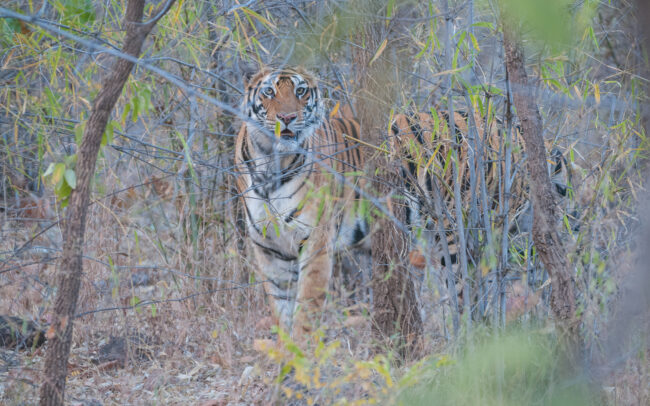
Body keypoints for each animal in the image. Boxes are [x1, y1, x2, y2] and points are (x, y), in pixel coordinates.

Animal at [235, 67, 367, 340]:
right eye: (268, 91)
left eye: (300, 91)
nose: (287, 117)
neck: (270, 166)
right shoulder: (268, 249)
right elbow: (281, 306)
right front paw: (287, 348)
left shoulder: (316, 240)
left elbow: (307, 305)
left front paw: (302, 346)